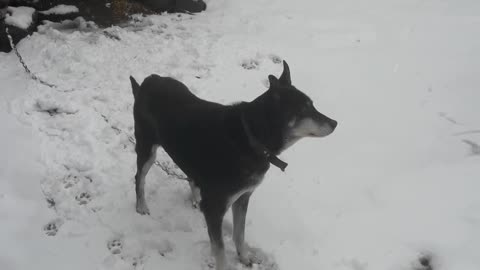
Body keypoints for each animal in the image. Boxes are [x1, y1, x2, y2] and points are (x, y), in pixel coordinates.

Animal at [129, 61, 336, 270]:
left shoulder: (243, 197)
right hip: (147, 147)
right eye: (304, 110)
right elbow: (219, 249)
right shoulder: (215, 209)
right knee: (140, 177)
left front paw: (244, 257)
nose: (335, 123)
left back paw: (195, 197)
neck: (252, 138)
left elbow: (239, 233)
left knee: (190, 176)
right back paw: (142, 206)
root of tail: (148, 81)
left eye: (313, 105)